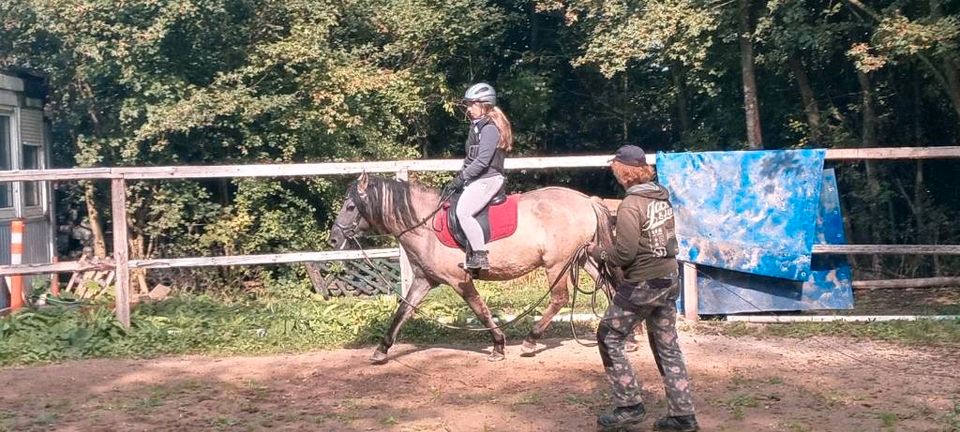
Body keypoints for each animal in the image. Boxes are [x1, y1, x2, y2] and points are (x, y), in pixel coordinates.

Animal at [328, 173, 616, 364]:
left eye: (350, 206)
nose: (333, 240)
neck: (425, 225)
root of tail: (585, 199)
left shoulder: (460, 281)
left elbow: (481, 310)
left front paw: (498, 346)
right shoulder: (423, 280)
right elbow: (402, 312)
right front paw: (381, 349)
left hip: (557, 265)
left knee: (559, 299)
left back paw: (530, 341)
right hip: (582, 258)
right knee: (608, 288)